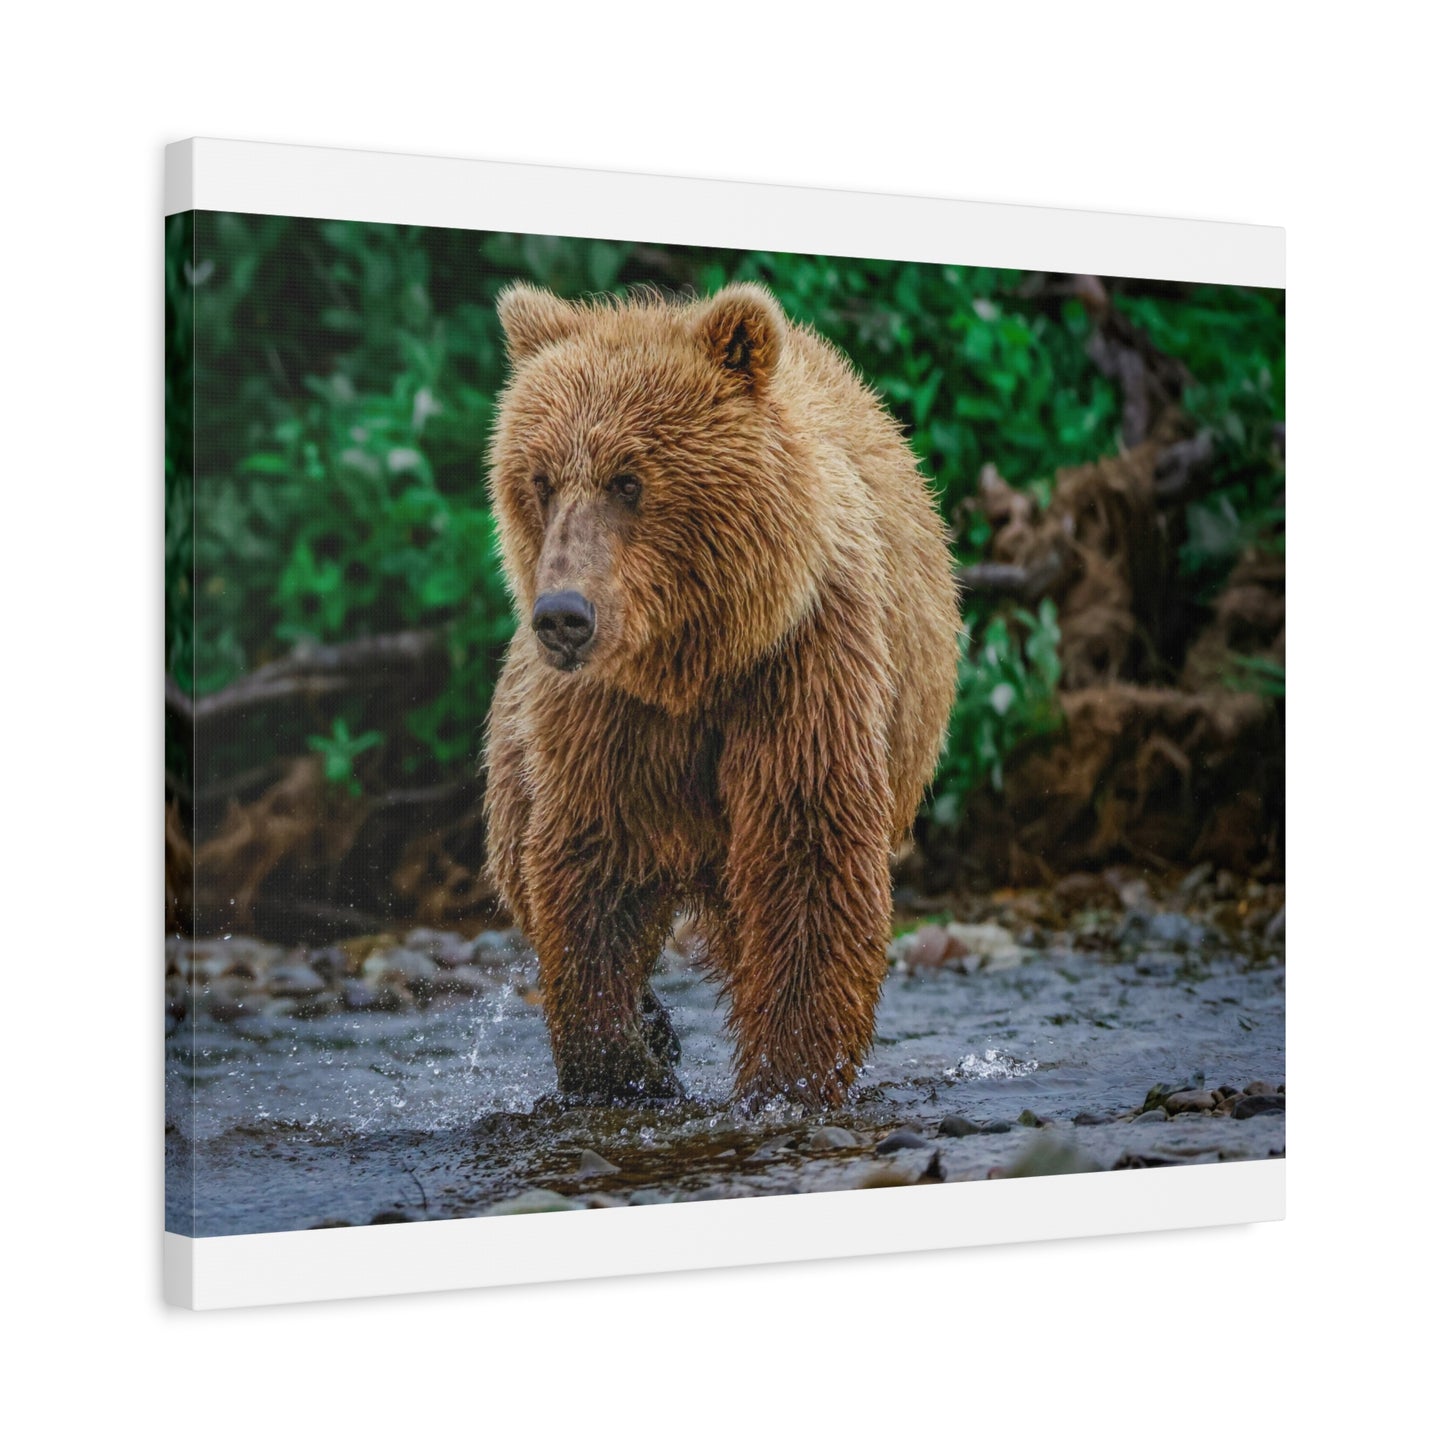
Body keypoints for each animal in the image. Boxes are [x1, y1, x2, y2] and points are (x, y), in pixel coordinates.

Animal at [482, 280, 959, 1108]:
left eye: (628, 479)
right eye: (539, 480)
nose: (563, 617)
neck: (693, 662)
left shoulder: (801, 667)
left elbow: (808, 858)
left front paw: (787, 1073)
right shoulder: (609, 715)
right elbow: (590, 862)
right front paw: (623, 1061)